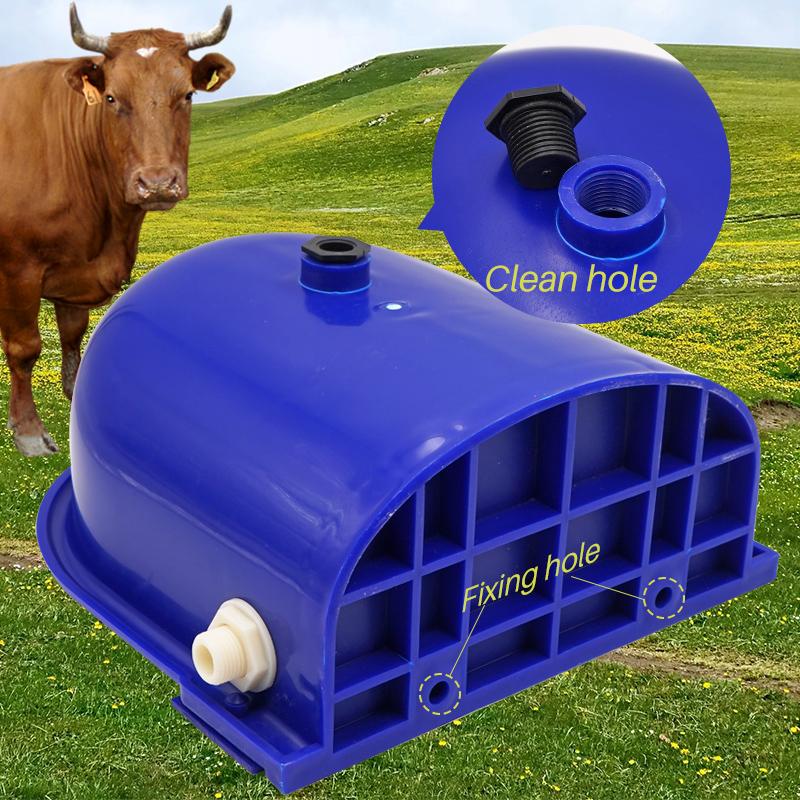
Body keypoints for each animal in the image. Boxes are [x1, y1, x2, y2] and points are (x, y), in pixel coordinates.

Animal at [0, 4, 235, 456]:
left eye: (188, 95)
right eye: (111, 98)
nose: (157, 183)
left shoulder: (75, 270)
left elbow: (73, 336)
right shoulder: (17, 268)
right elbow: (25, 348)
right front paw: (29, 432)